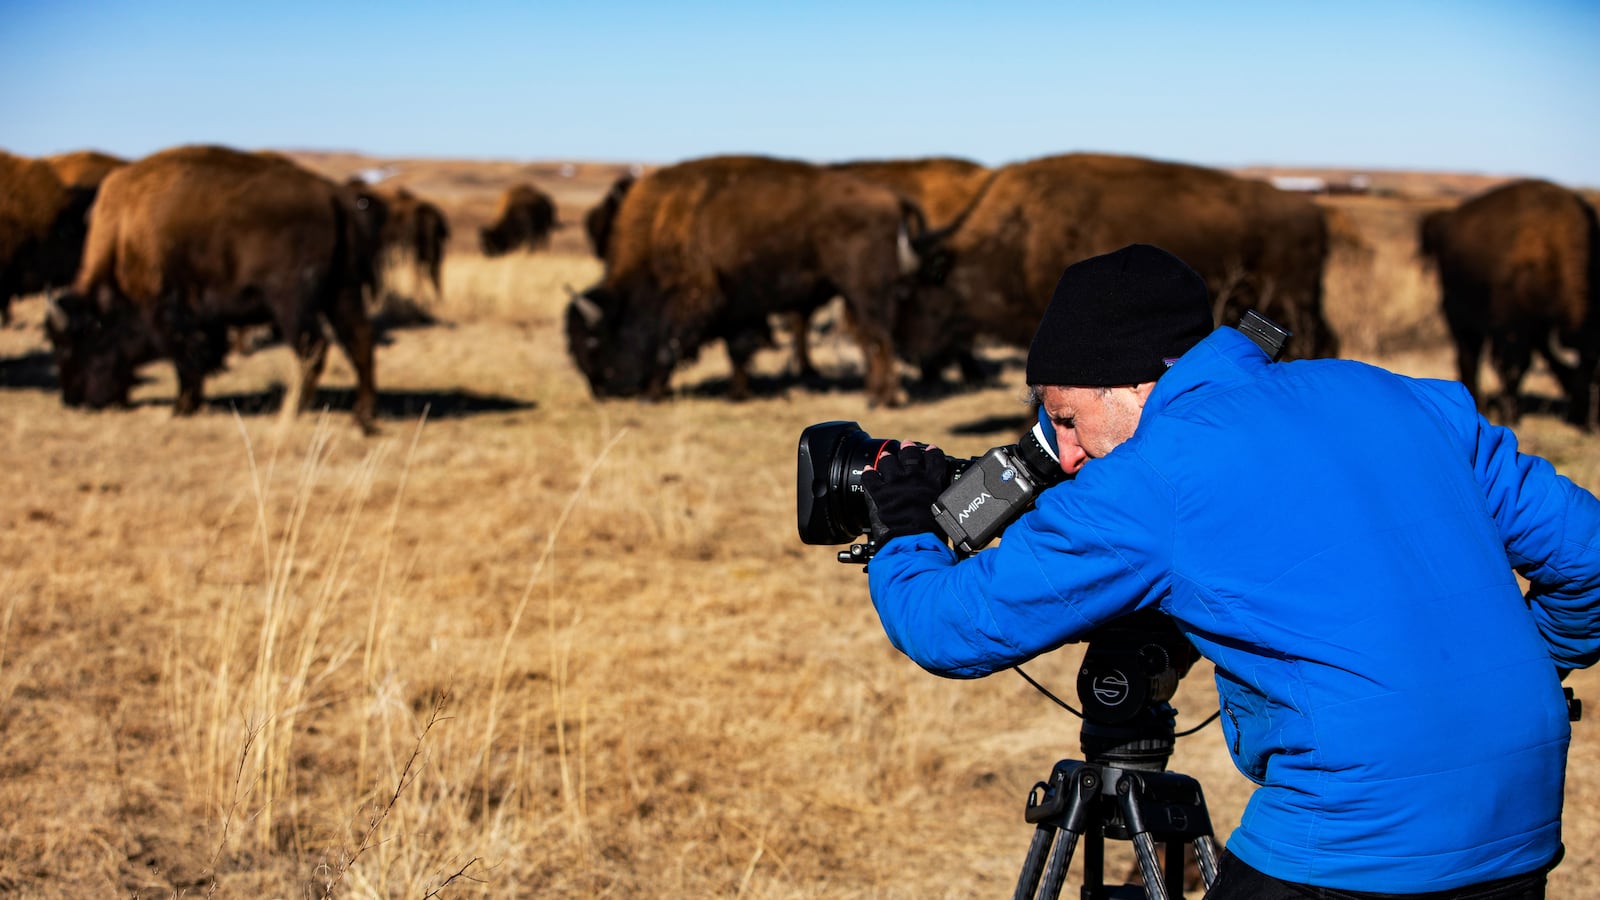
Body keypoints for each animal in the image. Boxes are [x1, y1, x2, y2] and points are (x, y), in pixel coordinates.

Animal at [44, 144, 381, 433]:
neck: (124, 233)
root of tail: (334, 197)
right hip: (342, 292)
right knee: (359, 341)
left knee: (314, 348)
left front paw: (182, 407)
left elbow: (184, 359)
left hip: (292, 302)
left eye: (74, 343)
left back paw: (291, 413)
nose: (72, 399)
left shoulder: (164, 311)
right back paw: (361, 417)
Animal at [565, 154, 925, 406]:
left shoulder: (695, 301)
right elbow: (735, 352)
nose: (602, 390)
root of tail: (892, 197)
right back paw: (873, 394)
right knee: (871, 338)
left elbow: (670, 348)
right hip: (853, 296)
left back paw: (883, 399)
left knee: (879, 338)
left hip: (866, 291)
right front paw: (737, 392)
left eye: (594, 342)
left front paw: (652, 394)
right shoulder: (735, 309)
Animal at [1420, 179, 1599, 430]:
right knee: (1469, 357)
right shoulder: (1511, 328)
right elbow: (1514, 367)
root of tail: (1447, 221)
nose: (1592, 423)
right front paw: (1511, 415)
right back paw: (1477, 402)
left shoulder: (1538, 330)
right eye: (1589, 379)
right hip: (1459, 317)